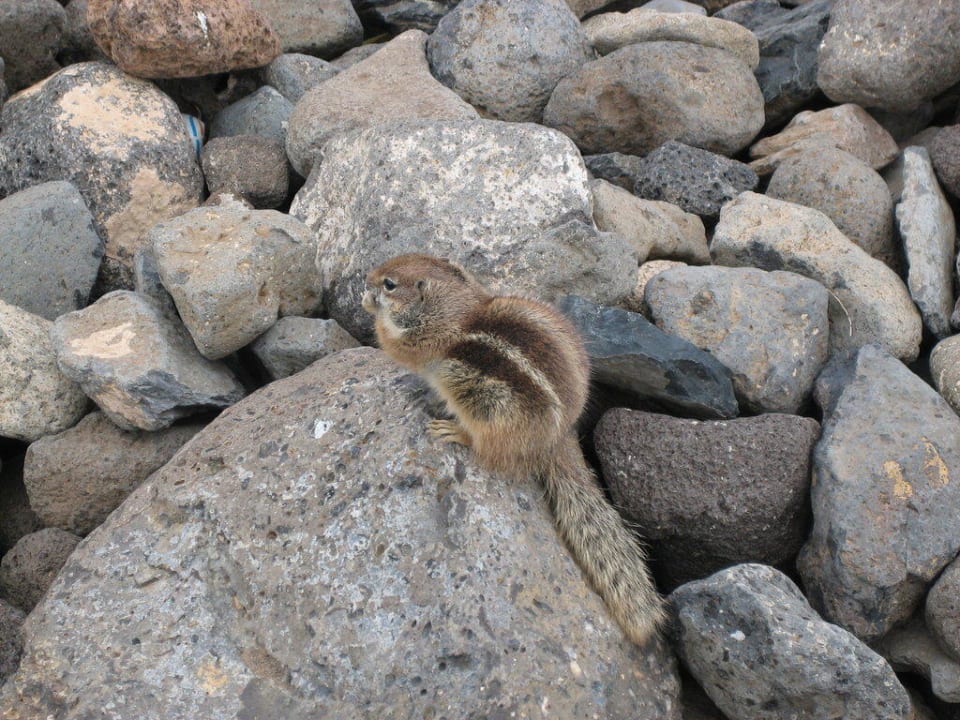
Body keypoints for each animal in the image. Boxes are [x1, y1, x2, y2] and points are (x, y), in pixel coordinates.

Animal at [362, 253, 665, 644]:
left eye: (390, 284)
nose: (366, 279)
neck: (455, 307)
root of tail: (558, 439)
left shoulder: (424, 342)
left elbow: (394, 344)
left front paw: (372, 309)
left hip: (482, 401)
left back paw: (455, 430)